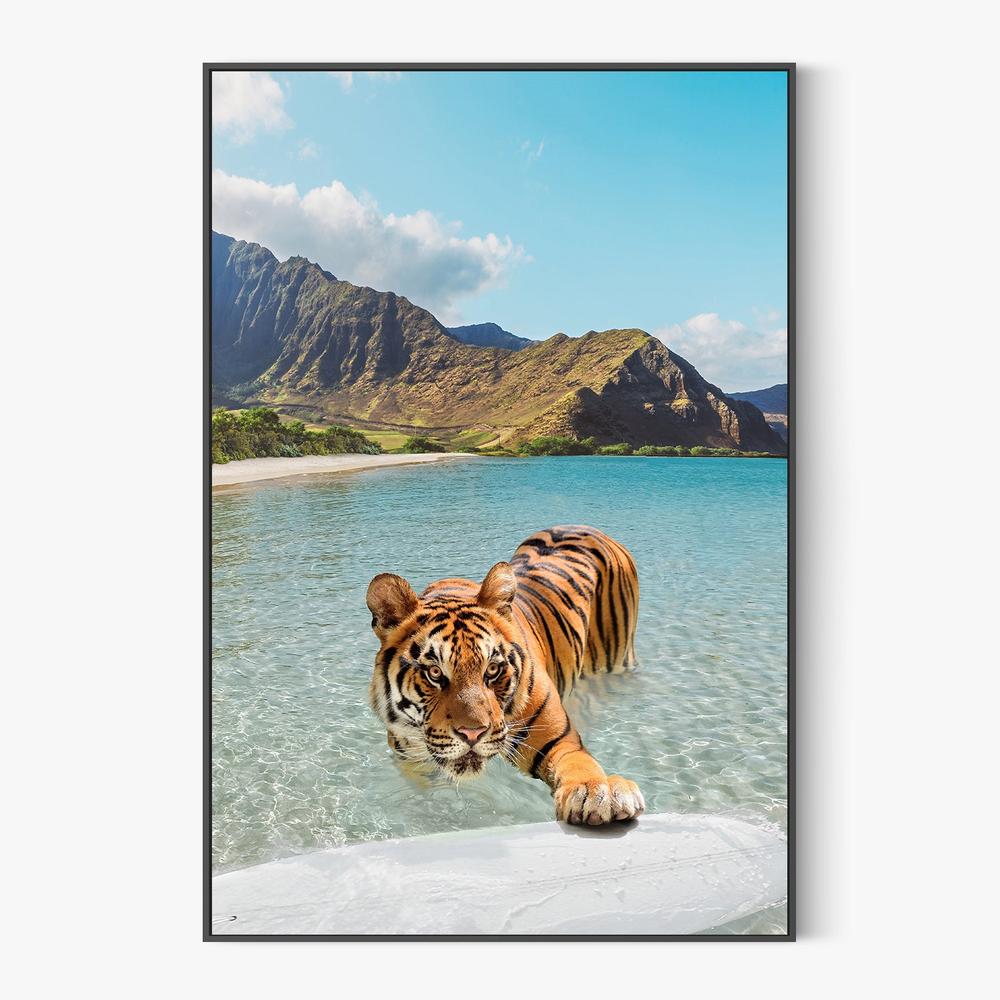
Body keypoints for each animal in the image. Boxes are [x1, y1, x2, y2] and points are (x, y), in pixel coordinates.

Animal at [366, 525, 645, 825]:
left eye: (492, 669)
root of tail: (585, 527)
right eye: (434, 672)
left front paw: (598, 792)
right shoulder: (411, 758)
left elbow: (579, 763)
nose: (472, 734)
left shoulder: (560, 740)